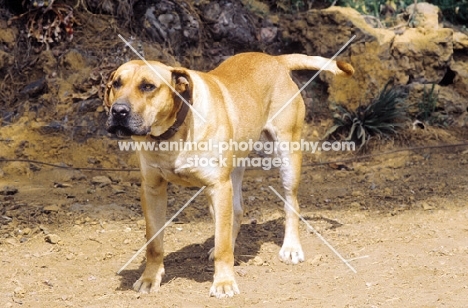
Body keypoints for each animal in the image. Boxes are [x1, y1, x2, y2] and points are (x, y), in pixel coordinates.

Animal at [105, 51, 354, 298]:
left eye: (148, 86)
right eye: (116, 83)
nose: (118, 111)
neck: (173, 132)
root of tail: (274, 59)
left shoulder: (219, 186)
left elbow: (223, 246)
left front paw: (224, 282)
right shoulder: (153, 189)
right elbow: (154, 243)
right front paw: (150, 278)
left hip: (287, 155)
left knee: (291, 203)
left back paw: (291, 248)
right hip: (229, 175)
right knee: (235, 213)